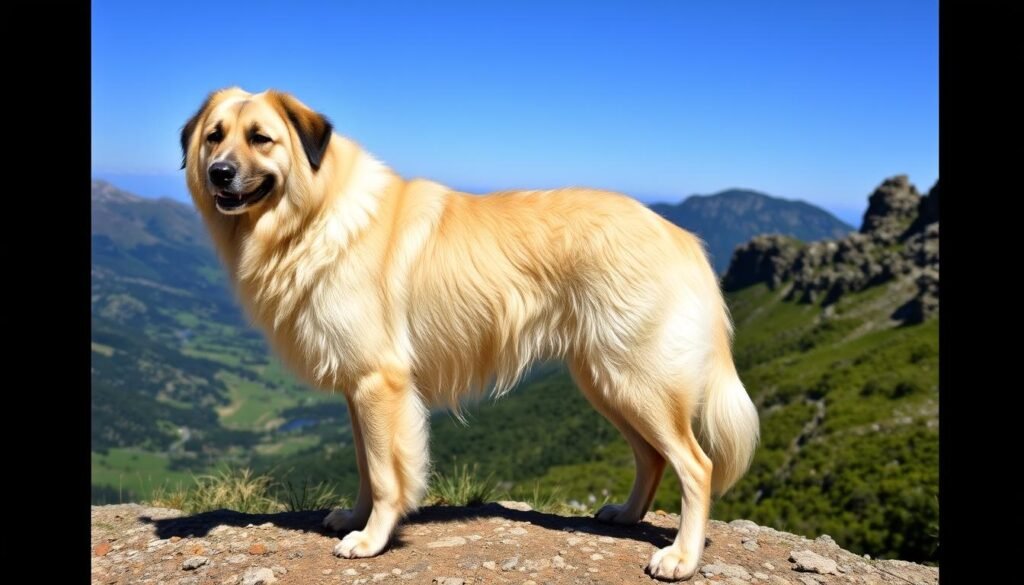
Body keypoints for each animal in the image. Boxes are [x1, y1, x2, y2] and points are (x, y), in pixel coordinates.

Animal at [180, 88, 761, 581]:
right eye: (214, 136)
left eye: (261, 138)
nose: (219, 173)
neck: (315, 216)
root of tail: (681, 236)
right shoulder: (359, 390)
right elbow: (367, 466)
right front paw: (356, 518)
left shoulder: (380, 384)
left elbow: (387, 474)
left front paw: (372, 540)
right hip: (608, 381)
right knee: (653, 457)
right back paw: (626, 514)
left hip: (635, 379)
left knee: (696, 464)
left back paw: (681, 557)